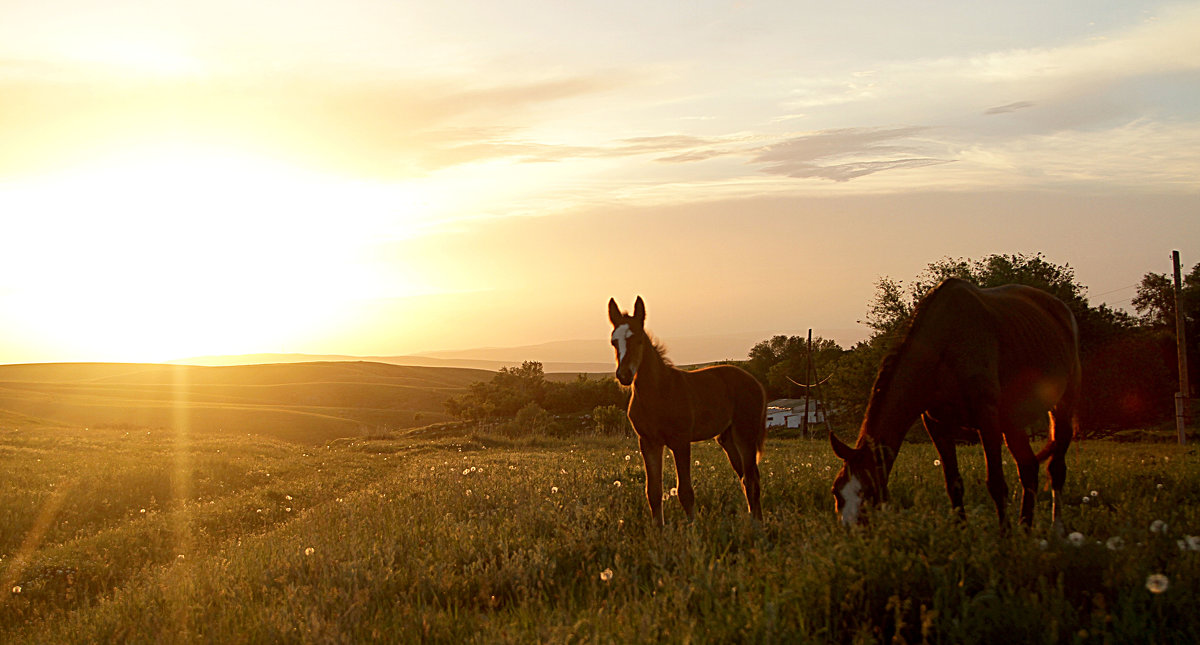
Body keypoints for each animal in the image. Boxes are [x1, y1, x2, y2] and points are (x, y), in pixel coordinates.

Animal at [609, 296, 768, 522]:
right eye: (614, 341)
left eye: (638, 339)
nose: (624, 375)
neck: (658, 392)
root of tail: (755, 382)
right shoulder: (648, 442)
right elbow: (653, 492)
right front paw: (658, 529)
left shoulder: (681, 441)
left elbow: (685, 491)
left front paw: (692, 528)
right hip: (726, 438)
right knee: (747, 478)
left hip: (745, 434)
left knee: (752, 479)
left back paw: (757, 525)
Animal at [835, 278, 1080, 529]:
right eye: (837, 492)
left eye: (868, 492)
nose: (851, 530)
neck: (945, 344)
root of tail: (1061, 309)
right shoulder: (936, 423)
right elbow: (953, 483)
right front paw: (961, 530)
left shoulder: (987, 418)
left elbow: (996, 482)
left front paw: (1004, 534)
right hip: (1013, 421)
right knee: (1028, 467)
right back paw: (1025, 527)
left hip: (1061, 405)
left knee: (1055, 469)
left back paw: (1056, 528)